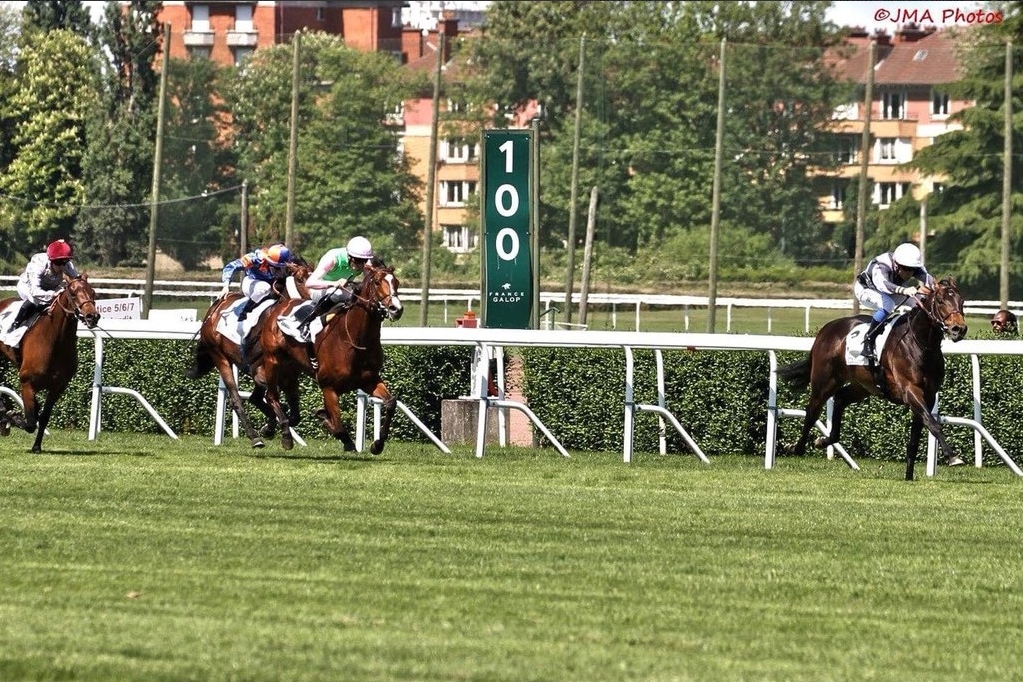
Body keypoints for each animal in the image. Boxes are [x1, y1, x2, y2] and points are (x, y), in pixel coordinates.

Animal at [0, 274, 101, 456]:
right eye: (73, 293)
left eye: (93, 292)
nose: (92, 316)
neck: (54, 341)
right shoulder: (27, 383)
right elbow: (30, 422)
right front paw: (11, 418)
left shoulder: (57, 387)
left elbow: (43, 417)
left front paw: (36, 446)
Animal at [184, 257, 310, 447]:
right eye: (300, 279)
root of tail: (213, 310)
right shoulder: (261, 372)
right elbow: (275, 401)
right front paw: (280, 433)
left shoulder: (289, 375)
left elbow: (294, 414)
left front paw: (269, 427)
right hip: (220, 357)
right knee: (236, 399)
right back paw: (254, 437)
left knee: (254, 398)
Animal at [259, 261, 403, 453]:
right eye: (378, 282)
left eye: (397, 282)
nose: (396, 309)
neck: (353, 340)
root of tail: (282, 303)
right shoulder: (328, 387)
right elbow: (338, 426)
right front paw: (330, 424)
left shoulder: (369, 379)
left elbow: (391, 403)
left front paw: (377, 444)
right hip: (272, 359)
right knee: (271, 396)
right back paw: (284, 435)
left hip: (291, 367)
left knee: (291, 407)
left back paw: (272, 427)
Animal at [781, 276, 965, 480]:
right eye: (940, 301)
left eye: (962, 301)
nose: (959, 329)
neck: (920, 344)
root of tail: (825, 331)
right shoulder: (910, 390)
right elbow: (933, 423)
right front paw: (952, 456)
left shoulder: (929, 395)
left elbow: (917, 434)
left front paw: (909, 476)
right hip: (824, 381)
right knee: (812, 411)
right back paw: (796, 448)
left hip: (862, 385)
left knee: (840, 398)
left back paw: (823, 440)